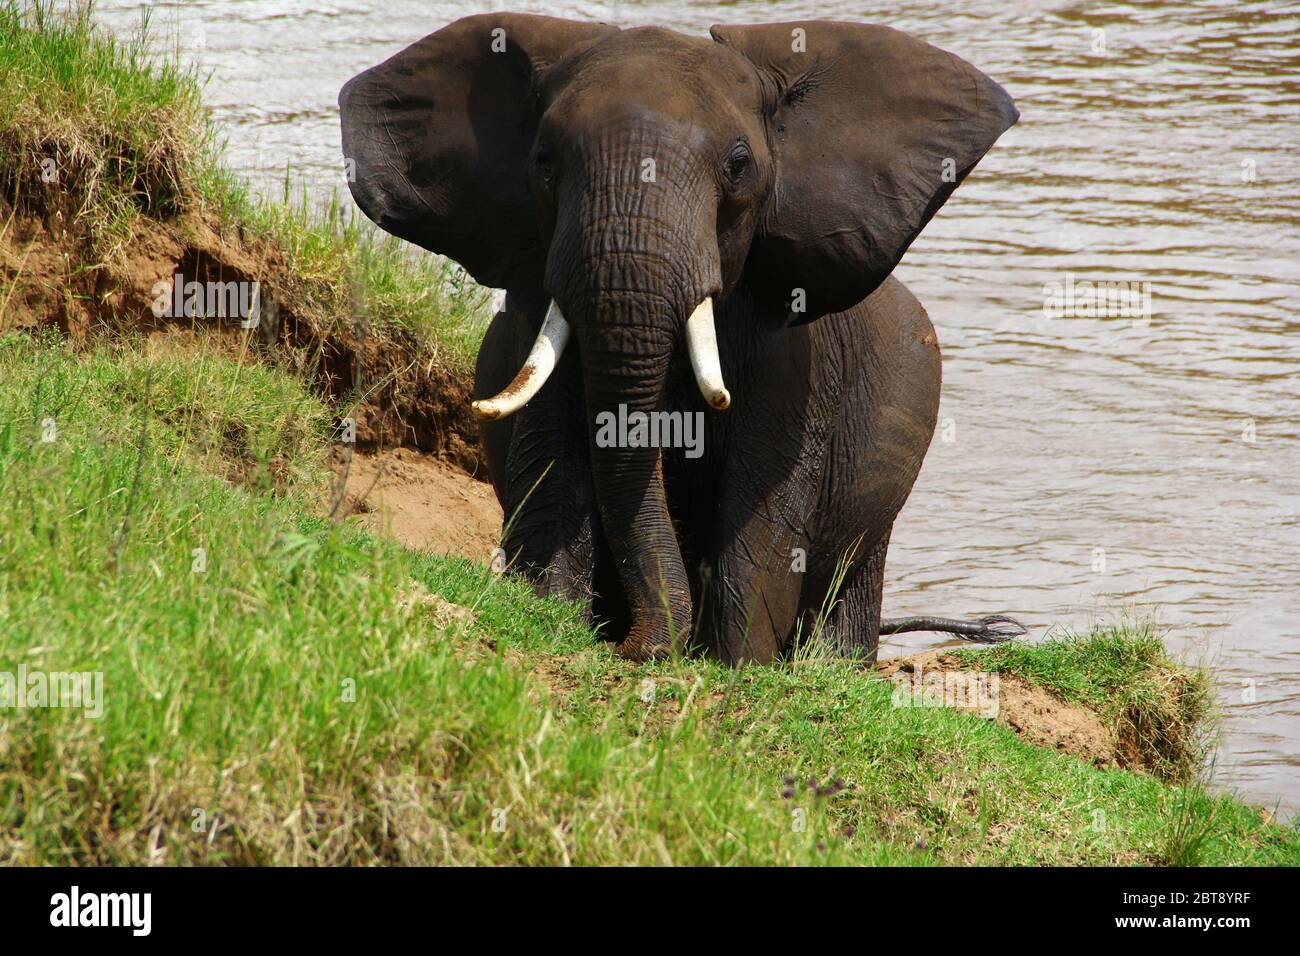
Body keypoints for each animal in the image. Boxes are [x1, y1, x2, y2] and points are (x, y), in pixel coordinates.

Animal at [343, 18, 1024, 671]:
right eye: (543, 163)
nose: (633, 646)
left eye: (739, 165)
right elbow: (551, 466)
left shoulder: (794, 359)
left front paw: (731, 665)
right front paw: (558, 621)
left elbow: (763, 509)